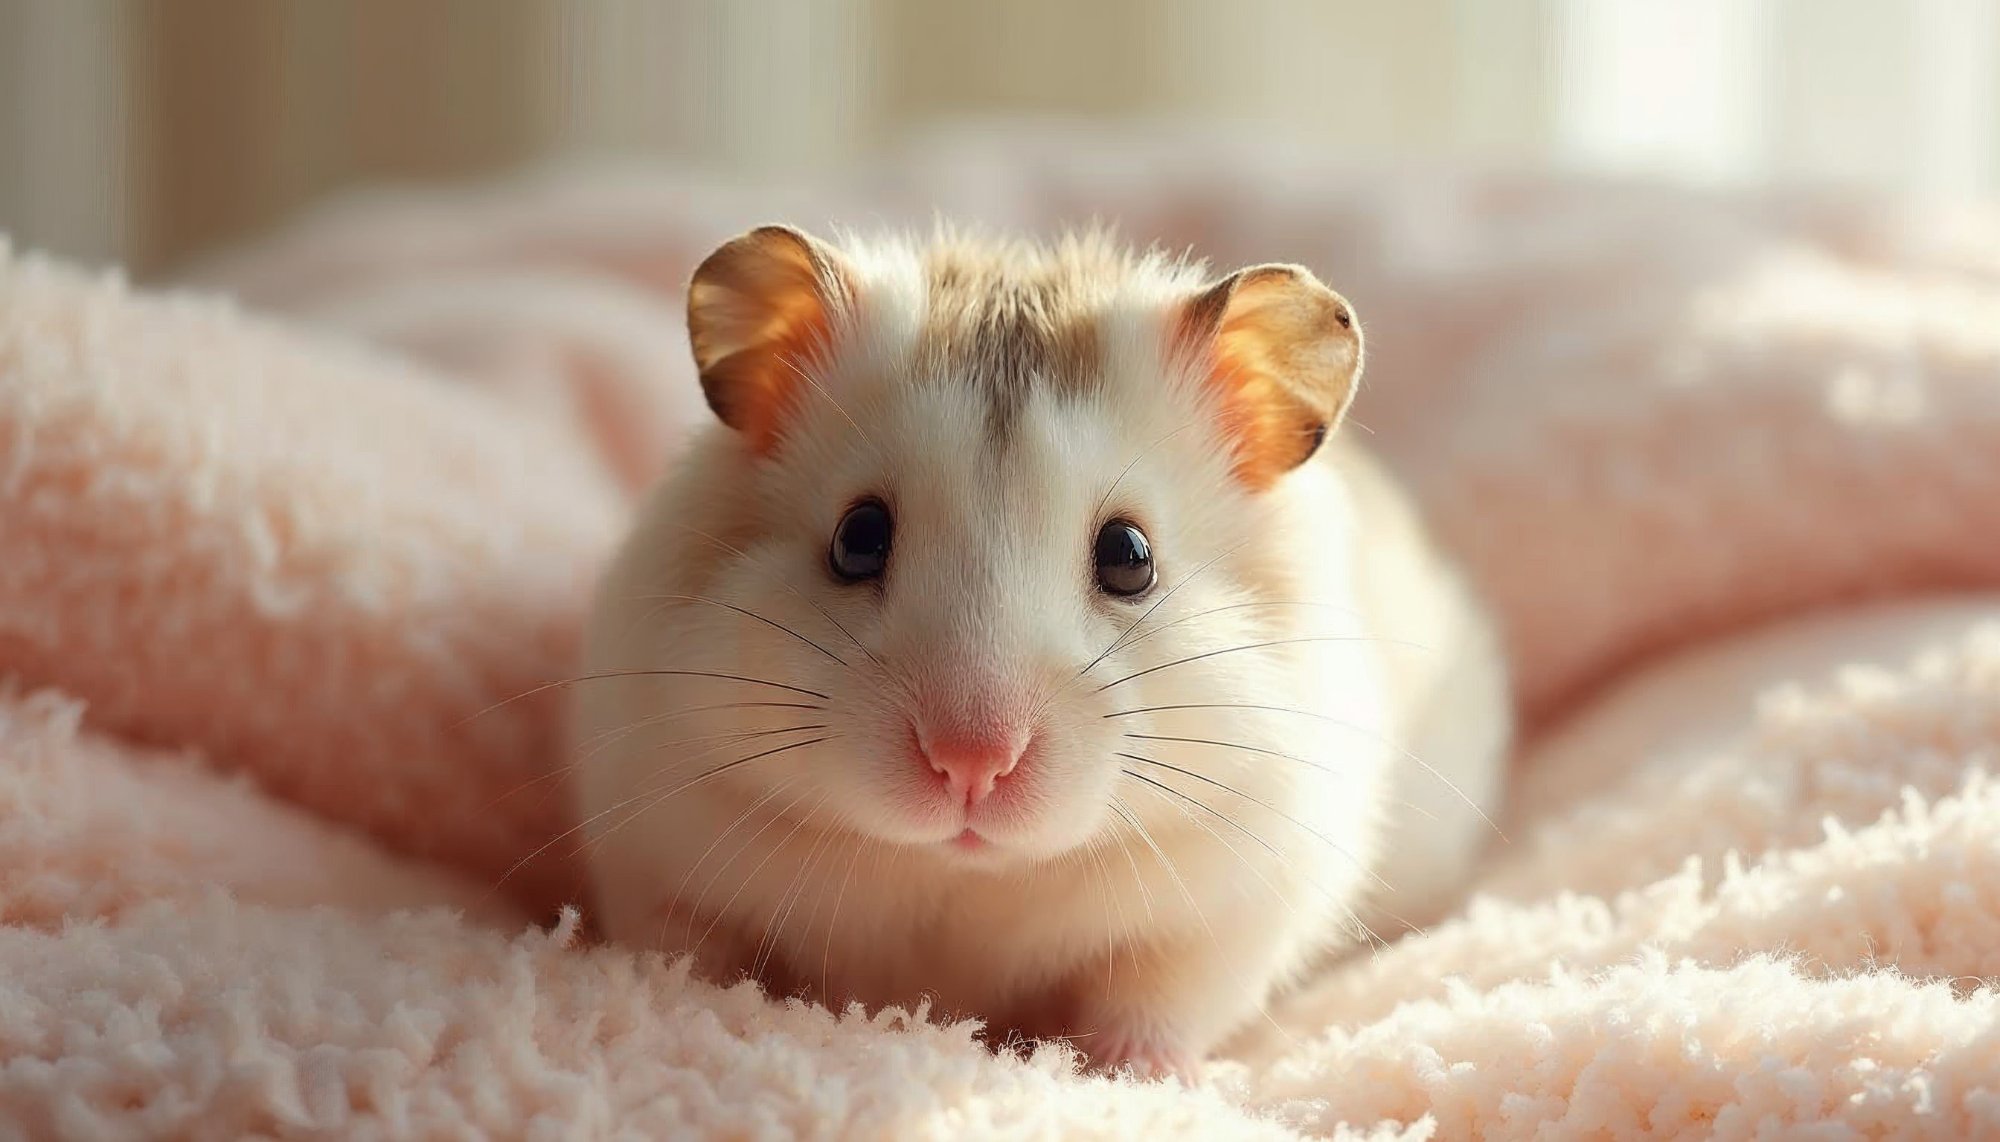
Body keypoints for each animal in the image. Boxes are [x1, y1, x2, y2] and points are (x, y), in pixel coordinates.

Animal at [571, 224, 1511, 1079]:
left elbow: (1162, 998)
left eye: (1129, 555)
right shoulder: (650, 849)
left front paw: (1128, 1073)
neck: (967, 876)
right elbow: (690, 948)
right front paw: (703, 1008)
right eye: (857, 538)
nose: (970, 764)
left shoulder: (1238, 903)